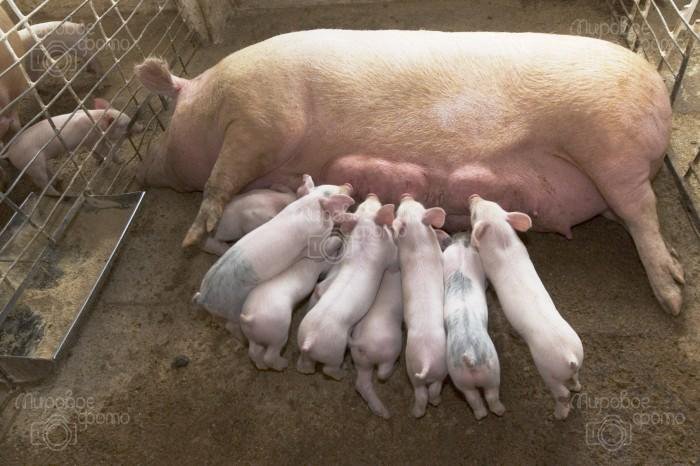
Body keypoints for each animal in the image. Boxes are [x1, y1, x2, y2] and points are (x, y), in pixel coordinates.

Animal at [134, 29, 680, 314]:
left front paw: (191, 237)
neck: (211, 100)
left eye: (169, 116)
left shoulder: (258, 119)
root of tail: (658, 87)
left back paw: (673, 295)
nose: (141, 169)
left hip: (612, 148)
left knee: (643, 212)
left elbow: (219, 179)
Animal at [296, 193, 396, 378]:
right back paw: (342, 372)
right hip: (334, 350)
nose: (372, 194)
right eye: (372, 206)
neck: (365, 230)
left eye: (360, 207)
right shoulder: (389, 252)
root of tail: (310, 340)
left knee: (305, 365)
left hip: (302, 338)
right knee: (329, 369)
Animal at [470, 195, 584, 420]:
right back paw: (577, 387)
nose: (473, 196)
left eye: (475, 214)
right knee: (575, 379)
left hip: (547, 370)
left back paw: (557, 415)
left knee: (562, 393)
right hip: (576, 356)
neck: (502, 241)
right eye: (494, 203)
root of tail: (570, 357)